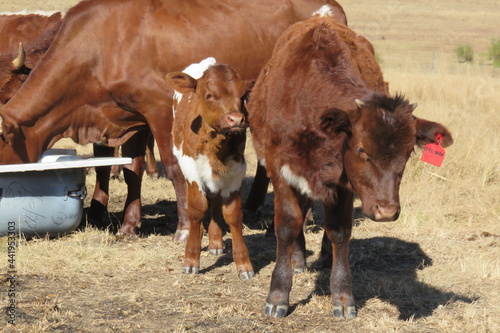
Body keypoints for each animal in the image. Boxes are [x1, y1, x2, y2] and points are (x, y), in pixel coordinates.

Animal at [0, 0, 346, 239]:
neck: (99, 47)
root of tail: (330, 10)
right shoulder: (129, 116)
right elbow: (132, 169)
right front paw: (129, 225)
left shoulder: (161, 109)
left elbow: (175, 167)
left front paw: (184, 228)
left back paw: (304, 216)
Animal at [166, 59, 254, 278]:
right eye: (209, 95)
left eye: (242, 96)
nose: (236, 119)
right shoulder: (190, 167)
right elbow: (197, 209)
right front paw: (191, 259)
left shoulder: (237, 169)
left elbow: (233, 213)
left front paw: (243, 264)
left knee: (215, 200)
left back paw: (215, 242)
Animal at [246, 16, 454, 318]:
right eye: (362, 150)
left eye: (408, 152)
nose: (387, 211)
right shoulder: (279, 169)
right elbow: (286, 226)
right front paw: (278, 293)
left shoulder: (344, 184)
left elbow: (339, 232)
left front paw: (343, 296)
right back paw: (298, 258)